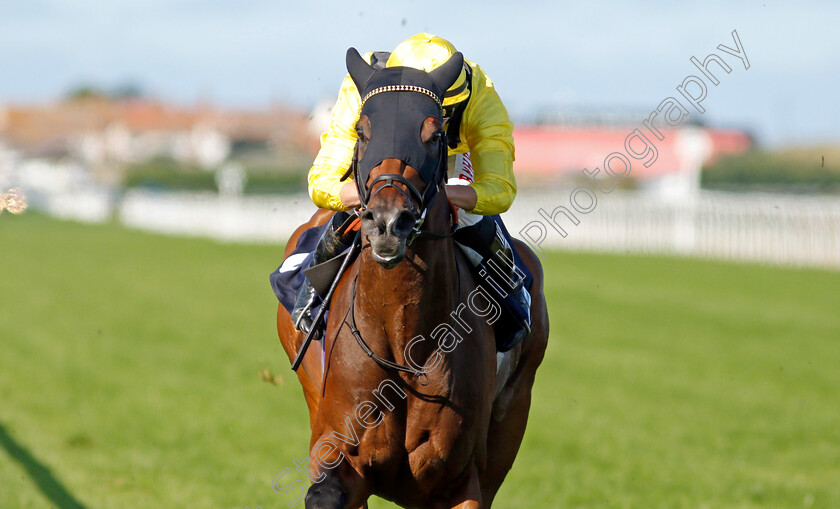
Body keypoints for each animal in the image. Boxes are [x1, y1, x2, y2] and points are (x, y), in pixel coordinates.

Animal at [278, 46, 552, 504]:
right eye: (362, 130)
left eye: (435, 133)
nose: (389, 222)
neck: (403, 339)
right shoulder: (337, 456)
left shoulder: (459, 479)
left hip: (515, 411)